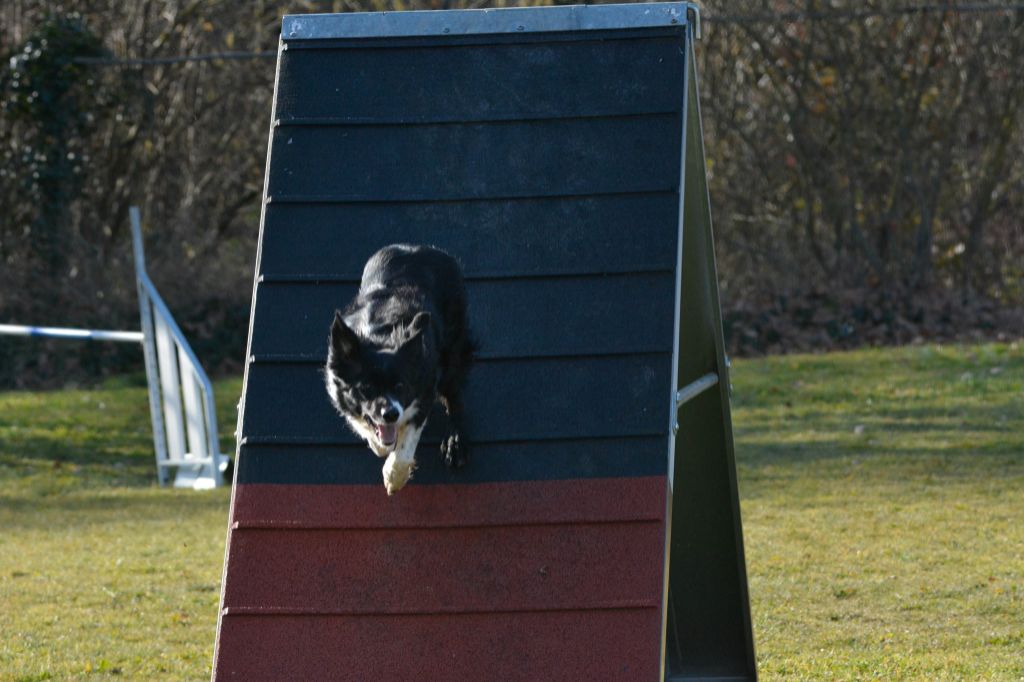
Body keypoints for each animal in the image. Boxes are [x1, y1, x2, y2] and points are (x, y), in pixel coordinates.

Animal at [323, 244, 475, 493]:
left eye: (401, 386)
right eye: (365, 388)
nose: (391, 414)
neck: (380, 337)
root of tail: (422, 247)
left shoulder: (426, 382)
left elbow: (406, 443)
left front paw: (394, 476)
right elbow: (372, 434)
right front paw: (381, 444)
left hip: (452, 349)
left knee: (455, 393)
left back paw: (456, 444)